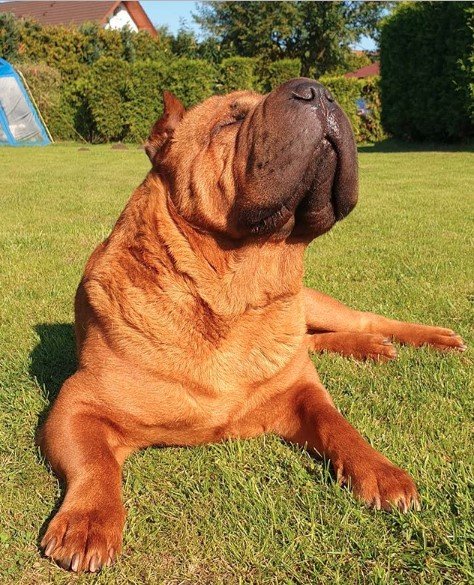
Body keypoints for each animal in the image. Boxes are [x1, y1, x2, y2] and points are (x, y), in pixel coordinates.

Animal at [38, 77, 466, 572]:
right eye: (230, 120)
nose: (317, 91)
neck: (234, 296)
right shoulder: (76, 405)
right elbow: (96, 463)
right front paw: (89, 520)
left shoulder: (303, 392)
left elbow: (339, 425)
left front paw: (380, 470)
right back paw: (372, 346)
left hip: (313, 304)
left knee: (359, 319)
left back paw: (426, 337)